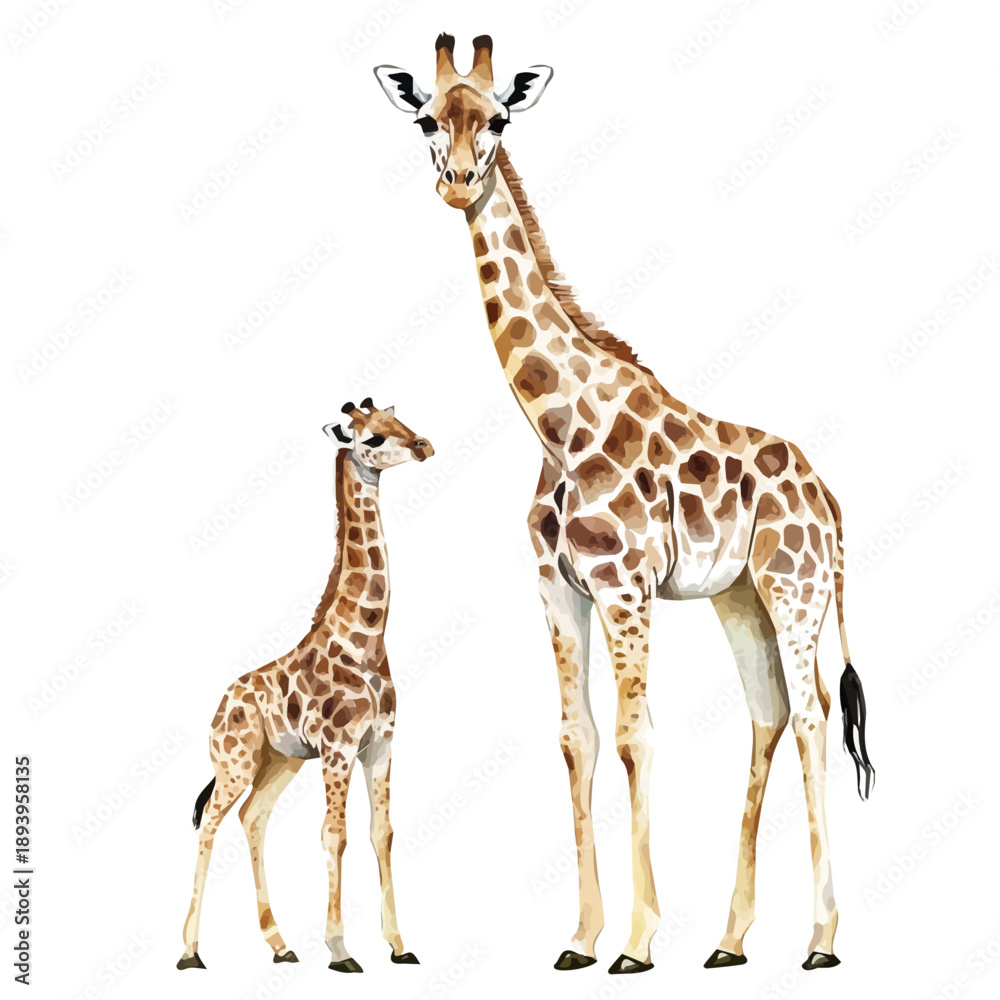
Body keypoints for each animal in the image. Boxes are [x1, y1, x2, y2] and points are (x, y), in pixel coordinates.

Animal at [177, 400, 432, 974]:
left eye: (399, 417)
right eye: (373, 437)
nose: (425, 445)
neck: (365, 641)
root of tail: (219, 707)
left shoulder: (381, 744)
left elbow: (381, 833)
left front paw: (399, 946)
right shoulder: (338, 748)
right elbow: (334, 834)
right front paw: (340, 950)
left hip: (279, 762)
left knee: (252, 818)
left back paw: (281, 945)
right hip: (235, 763)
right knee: (211, 824)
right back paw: (190, 951)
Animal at [375, 35, 875, 975]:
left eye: (497, 119)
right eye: (427, 118)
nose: (457, 182)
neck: (556, 424)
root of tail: (828, 498)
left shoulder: (624, 584)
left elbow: (638, 733)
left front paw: (639, 944)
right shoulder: (557, 585)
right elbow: (578, 737)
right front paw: (580, 938)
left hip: (793, 589)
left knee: (814, 715)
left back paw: (822, 942)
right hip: (738, 597)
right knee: (768, 713)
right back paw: (728, 941)